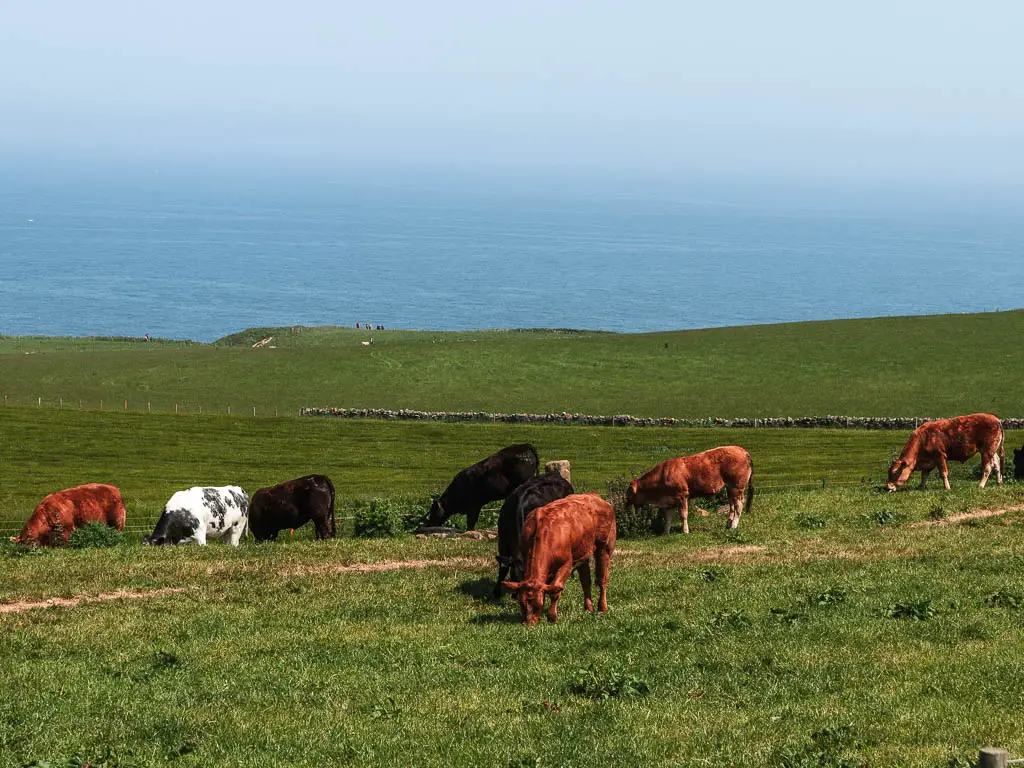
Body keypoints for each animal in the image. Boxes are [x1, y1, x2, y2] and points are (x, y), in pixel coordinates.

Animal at [499, 495, 610, 626]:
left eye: (538, 604)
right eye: (522, 603)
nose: (528, 623)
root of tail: (595, 496)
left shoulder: (566, 564)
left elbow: (555, 589)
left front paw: (552, 617)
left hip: (605, 547)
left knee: (603, 579)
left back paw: (602, 608)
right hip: (583, 553)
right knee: (585, 580)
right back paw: (588, 608)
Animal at [622, 444, 753, 536]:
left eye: (628, 493)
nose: (625, 504)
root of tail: (743, 450)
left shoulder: (682, 496)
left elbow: (683, 514)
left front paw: (685, 530)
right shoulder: (668, 501)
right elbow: (668, 518)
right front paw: (665, 532)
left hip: (736, 488)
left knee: (738, 505)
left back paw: (734, 526)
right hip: (730, 489)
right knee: (732, 506)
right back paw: (728, 524)